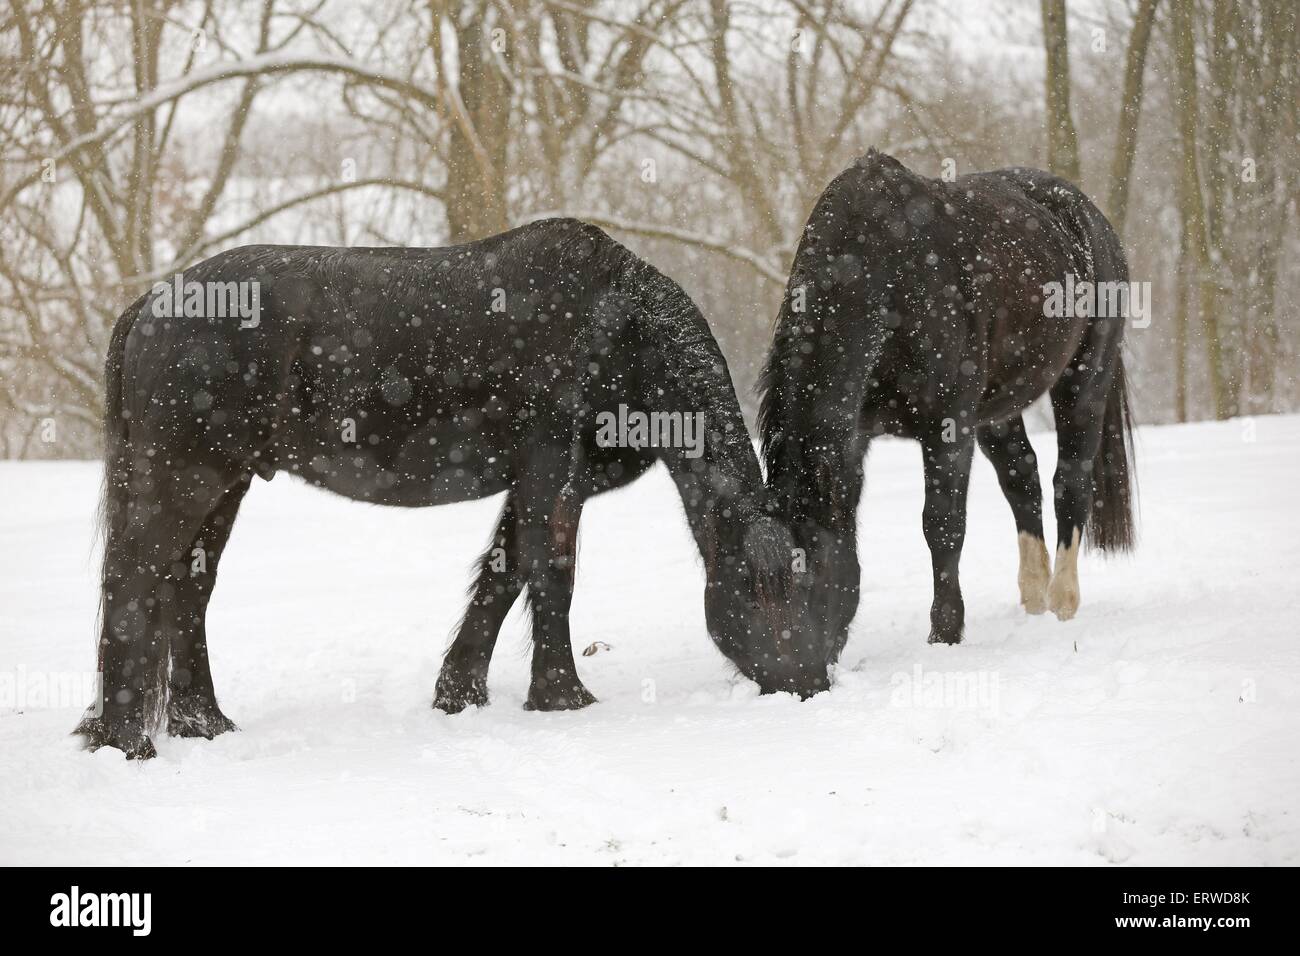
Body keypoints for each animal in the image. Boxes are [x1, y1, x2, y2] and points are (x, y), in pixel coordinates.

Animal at [78, 218, 821, 764]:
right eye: (767, 586)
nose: (809, 686)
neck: (616, 324)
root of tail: (149, 304)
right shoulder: (550, 467)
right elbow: (551, 574)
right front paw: (562, 696)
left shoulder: (537, 480)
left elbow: (502, 575)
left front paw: (459, 693)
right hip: (183, 477)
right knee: (134, 580)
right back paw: (126, 740)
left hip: (225, 484)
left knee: (187, 589)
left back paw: (201, 721)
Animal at [759, 153, 1133, 665]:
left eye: (807, 568)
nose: (792, 669)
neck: (888, 269)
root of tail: (1090, 215)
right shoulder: (854, 439)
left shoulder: (948, 428)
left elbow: (942, 525)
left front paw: (945, 634)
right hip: (998, 410)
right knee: (1023, 480)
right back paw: (1034, 598)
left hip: (1084, 383)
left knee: (1070, 482)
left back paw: (1062, 602)